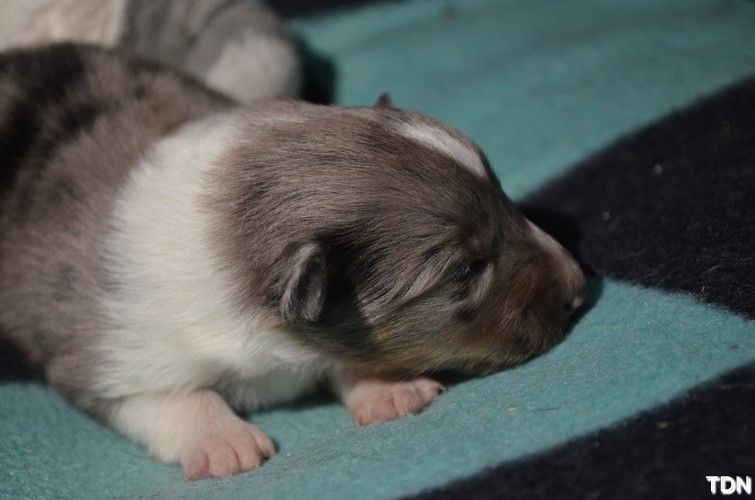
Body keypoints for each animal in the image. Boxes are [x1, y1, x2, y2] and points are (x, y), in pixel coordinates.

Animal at [0, 44, 585, 479]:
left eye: (505, 196)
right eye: (465, 270)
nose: (580, 288)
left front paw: (388, 389)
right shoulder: (105, 358)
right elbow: (173, 398)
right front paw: (225, 441)